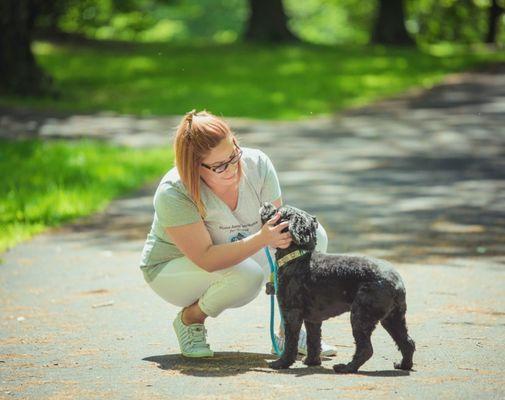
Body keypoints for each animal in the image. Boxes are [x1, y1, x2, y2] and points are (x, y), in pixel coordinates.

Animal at [260, 202, 414, 374]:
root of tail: (397, 282)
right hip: (392, 317)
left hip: (361, 315)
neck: (298, 257)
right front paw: (312, 361)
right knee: (408, 342)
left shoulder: (291, 313)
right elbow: (313, 341)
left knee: (366, 349)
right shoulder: (312, 318)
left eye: (278, 212)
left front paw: (281, 363)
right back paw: (403, 365)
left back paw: (346, 367)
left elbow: (290, 342)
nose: (265, 204)